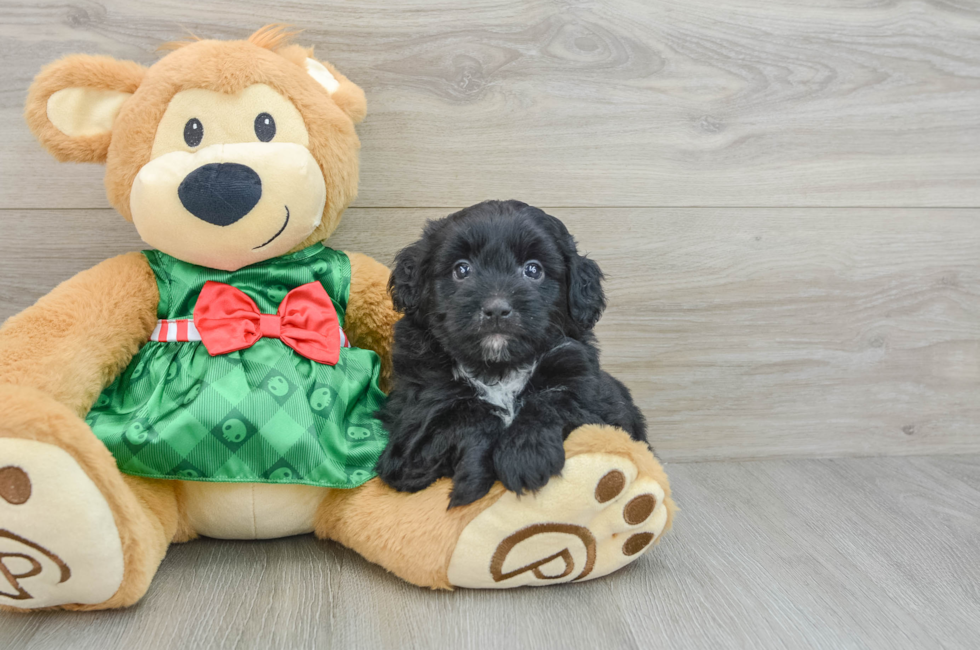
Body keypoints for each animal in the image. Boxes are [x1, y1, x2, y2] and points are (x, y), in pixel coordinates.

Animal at [374, 199, 644, 506]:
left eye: (533, 270)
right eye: (461, 270)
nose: (496, 309)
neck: (498, 369)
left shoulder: (595, 404)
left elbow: (554, 401)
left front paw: (526, 455)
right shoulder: (410, 437)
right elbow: (470, 417)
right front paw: (473, 478)